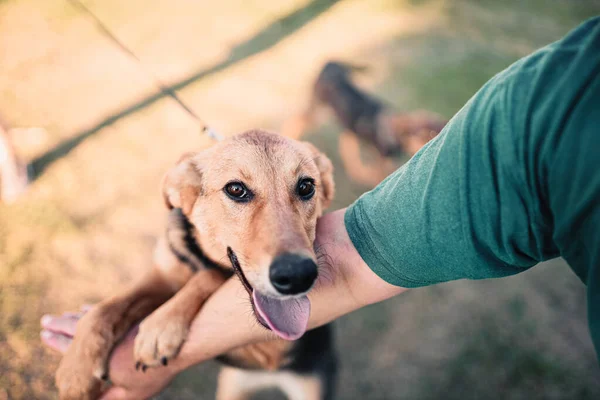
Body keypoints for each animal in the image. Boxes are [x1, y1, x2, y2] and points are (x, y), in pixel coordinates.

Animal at [55, 130, 338, 400]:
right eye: (236, 189)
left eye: (306, 186)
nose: (298, 275)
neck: (199, 255)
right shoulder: (164, 275)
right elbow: (104, 310)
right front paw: (76, 372)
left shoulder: (275, 346)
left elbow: (208, 275)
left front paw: (160, 326)